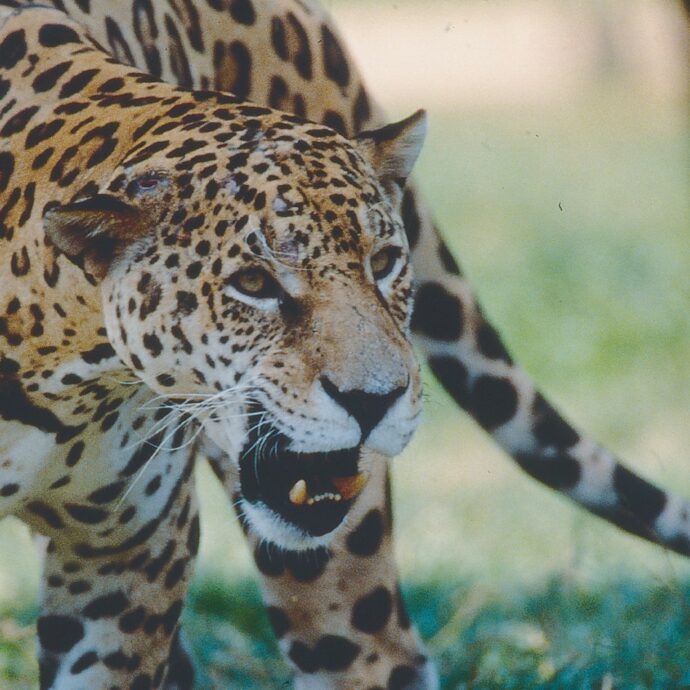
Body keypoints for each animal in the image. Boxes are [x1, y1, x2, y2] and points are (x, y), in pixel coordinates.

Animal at [0, 2, 688, 690]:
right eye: (254, 283)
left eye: (382, 263)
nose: (376, 399)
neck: (70, 379)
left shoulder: (127, 560)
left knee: (374, 648)